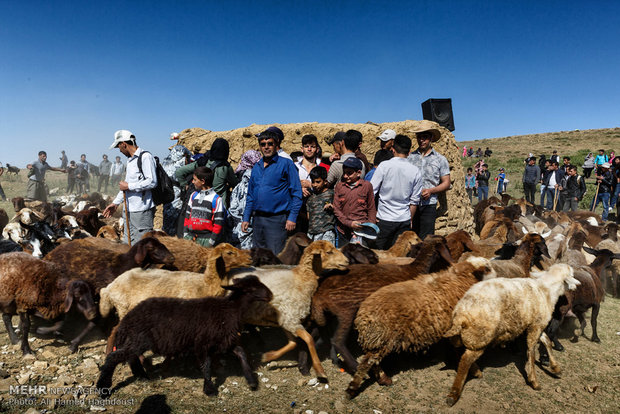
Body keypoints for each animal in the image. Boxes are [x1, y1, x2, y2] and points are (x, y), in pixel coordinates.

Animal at [96, 274, 272, 394]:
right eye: (251, 289)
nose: (270, 295)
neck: (230, 309)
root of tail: (127, 318)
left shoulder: (222, 340)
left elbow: (241, 353)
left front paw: (251, 381)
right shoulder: (203, 342)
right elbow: (206, 364)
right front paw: (209, 389)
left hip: (137, 340)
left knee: (130, 357)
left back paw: (142, 376)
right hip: (139, 339)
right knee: (114, 357)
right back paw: (103, 387)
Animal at [444, 264, 580, 406]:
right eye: (571, 275)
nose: (577, 286)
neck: (546, 290)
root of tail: (461, 315)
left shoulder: (536, 324)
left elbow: (547, 341)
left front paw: (556, 368)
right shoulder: (536, 326)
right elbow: (531, 352)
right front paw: (534, 381)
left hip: (468, 336)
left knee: (458, 351)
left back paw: (475, 371)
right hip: (481, 336)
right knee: (465, 360)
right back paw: (454, 394)